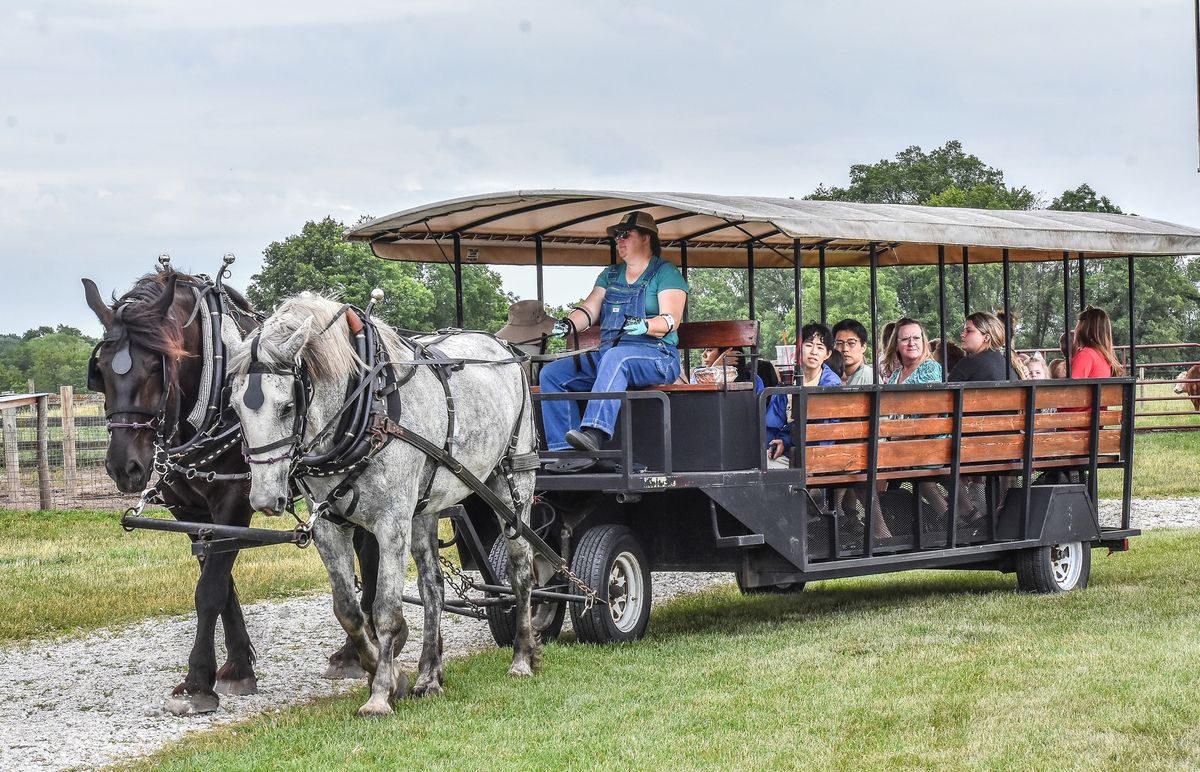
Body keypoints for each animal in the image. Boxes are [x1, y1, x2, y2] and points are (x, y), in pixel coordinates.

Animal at [81, 268, 369, 715]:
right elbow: (221, 584)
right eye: (103, 372)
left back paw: (355, 652)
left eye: (156, 366)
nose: (124, 466)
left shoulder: (235, 502)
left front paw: (198, 682)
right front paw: (237, 668)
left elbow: (211, 591)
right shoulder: (191, 513)